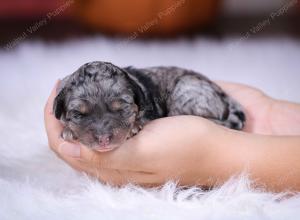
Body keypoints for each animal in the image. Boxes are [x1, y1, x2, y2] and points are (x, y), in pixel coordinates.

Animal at [53, 61, 246, 151]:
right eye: (79, 115)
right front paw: (69, 130)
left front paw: (133, 127)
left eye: (121, 109)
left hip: (186, 93)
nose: (103, 140)